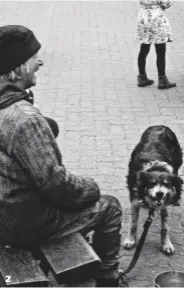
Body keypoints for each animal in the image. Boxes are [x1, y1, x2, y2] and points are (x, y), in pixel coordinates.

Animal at [123, 125, 183, 254]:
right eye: (151, 183)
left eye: (166, 184)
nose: (160, 194)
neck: (156, 167)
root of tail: (160, 125)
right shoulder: (135, 201)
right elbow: (133, 223)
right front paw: (130, 240)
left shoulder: (165, 205)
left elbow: (165, 227)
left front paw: (166, 244)